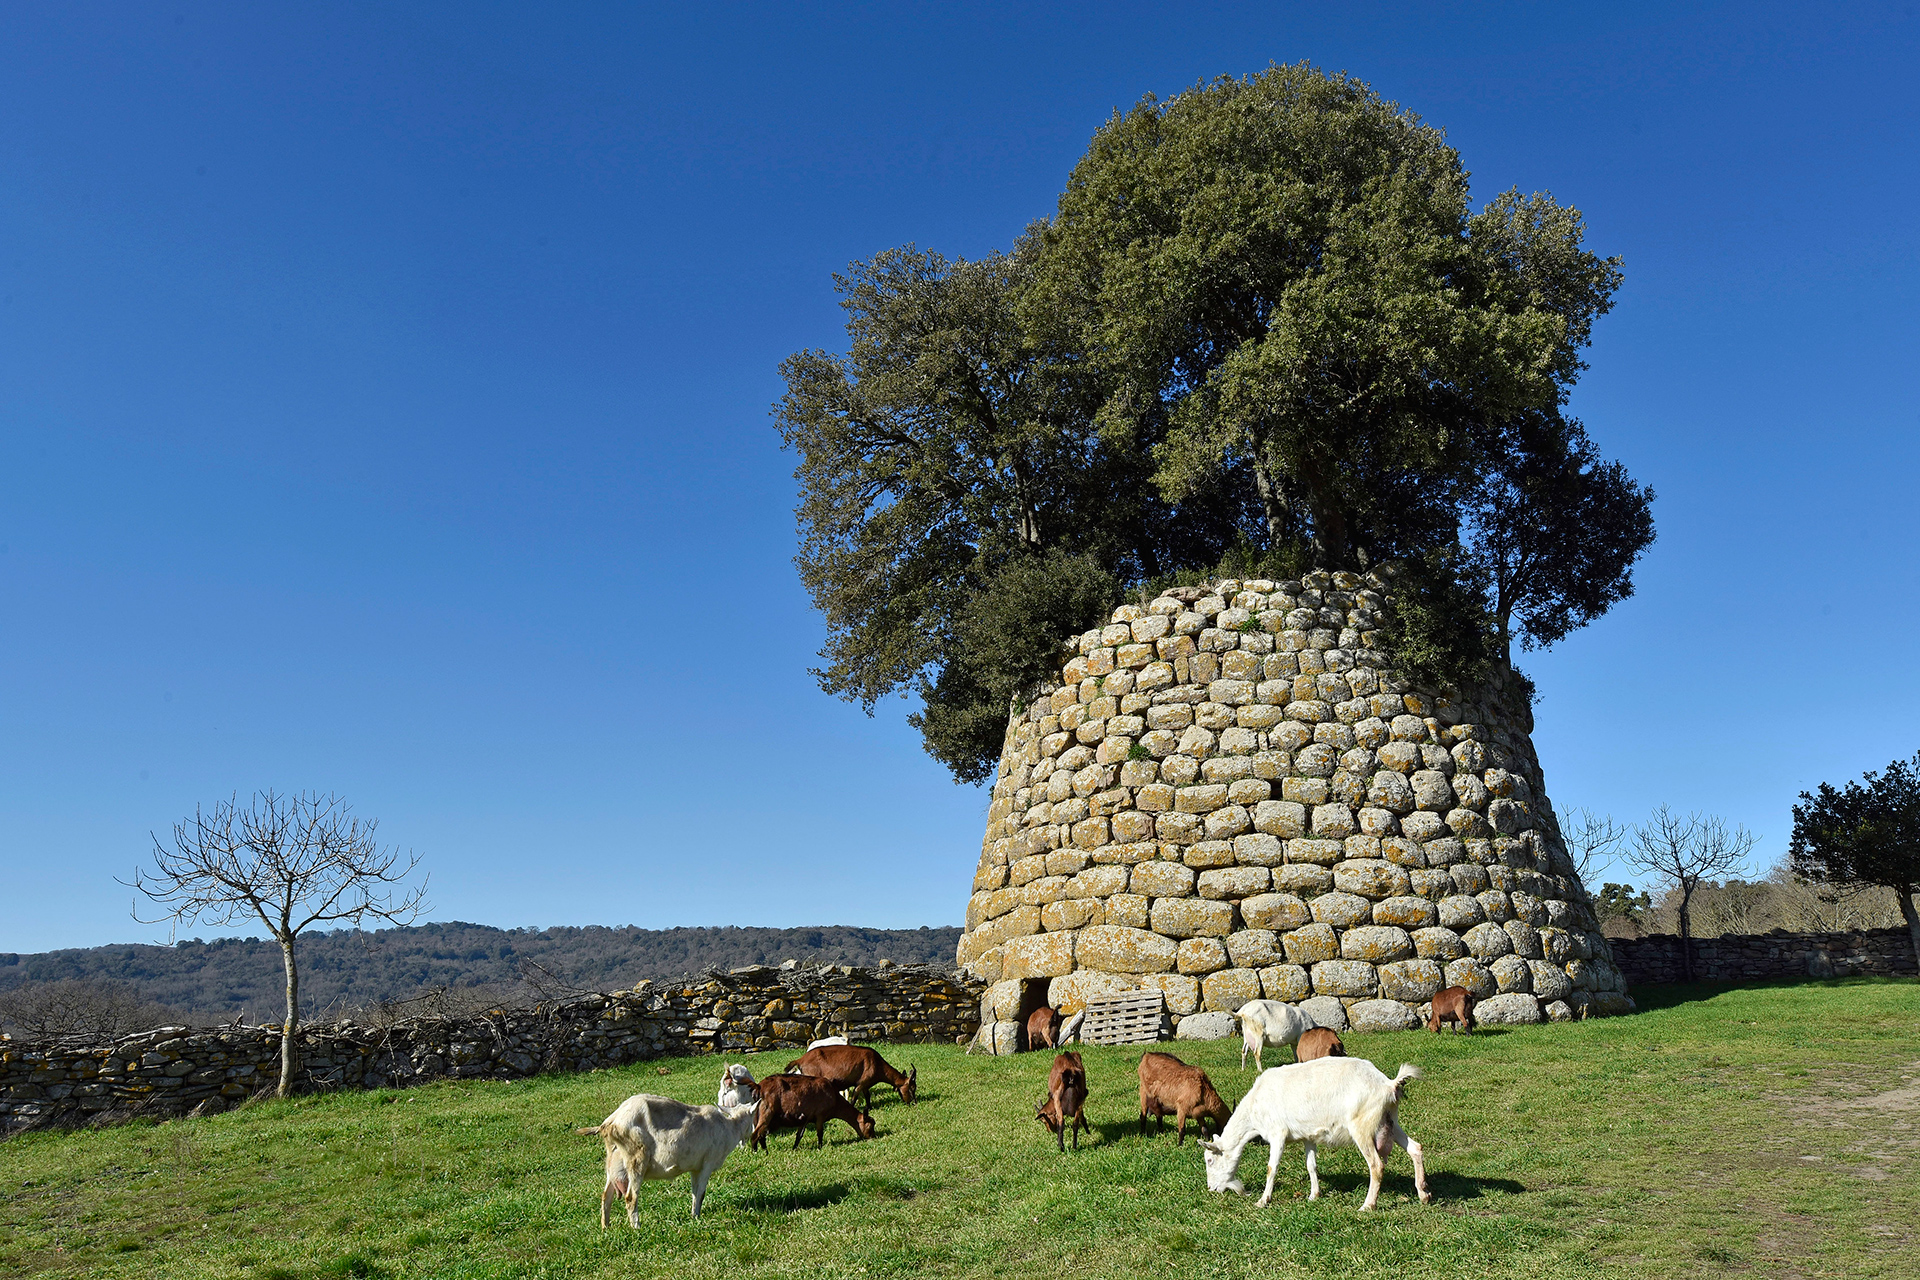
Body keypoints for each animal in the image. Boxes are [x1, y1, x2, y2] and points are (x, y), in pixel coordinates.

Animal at [579, 1097, 760, 1228]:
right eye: (753, 1115)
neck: (729, 1128)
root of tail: (609, 1123)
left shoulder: (695, 1168)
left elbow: (695, 1193)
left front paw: (694, 1216)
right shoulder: (706, 1164)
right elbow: (701, 1193)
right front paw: (697, 1217)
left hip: (614, 1163)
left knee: (606, 1195)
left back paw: (606, 1228)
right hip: (636, 1159)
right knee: (631, 1197)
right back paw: (637, 1228)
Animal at [748, 1074, 879, 1151]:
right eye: (870, 1125)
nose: (873, 1137)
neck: (834, 1097)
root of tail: (759, 1086)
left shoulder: (804, 1118)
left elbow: (799, 1135)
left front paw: (794, 1148)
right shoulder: (820, 1116)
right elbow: (820, 1133)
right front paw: (820, 1147)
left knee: (761, 1135)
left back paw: (764, 1151)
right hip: (767, 1112)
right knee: (755, 1135)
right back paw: (757, 1152)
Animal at [779, 1043, 913, 1113]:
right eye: (912, 1088)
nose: (913, 1102)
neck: (877, 1063)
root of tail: (800, 1060)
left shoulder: (865, 1085)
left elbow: (868, 1096)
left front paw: (869, 1107)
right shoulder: (861, 1083)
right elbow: (854, 1098)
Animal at [1198, 1059, 1428, 1212]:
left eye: (1209, 1160)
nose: (1211, 1188)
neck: (1255, 1106)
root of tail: (1388, 1085)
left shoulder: (1277, 1133)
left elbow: (1272, 1168)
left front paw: (1263, 1200)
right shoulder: (1307, 1136)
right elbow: (1311, 1165)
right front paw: (1313, 1195)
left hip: (1362, 1126)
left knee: (1376, 1165)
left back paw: (1368, 1205)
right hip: (1389, 1121)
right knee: (1415, 1147)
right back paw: (1424, 1194)